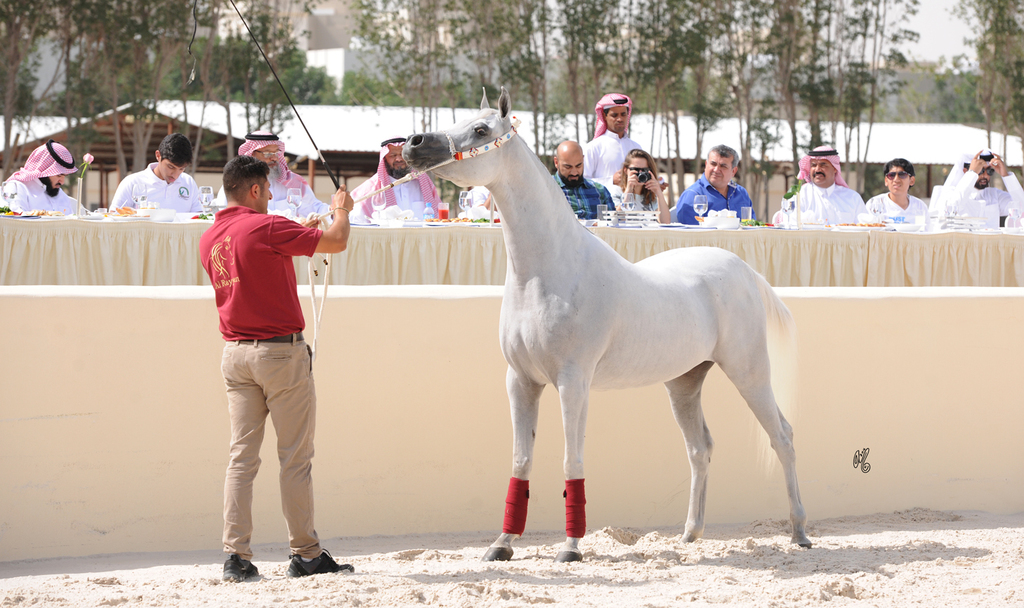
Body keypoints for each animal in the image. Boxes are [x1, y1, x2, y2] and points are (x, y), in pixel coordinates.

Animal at [403, 87, 812, 562]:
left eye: (482, 129)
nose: (413, 144)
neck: (549, 272)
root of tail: (744, 270)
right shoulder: (521, 381)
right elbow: (520, 461)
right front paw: (501, 545)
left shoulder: (572, 382)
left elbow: (571, 459)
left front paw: (571, 548)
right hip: (684, 383)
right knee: (699, 448)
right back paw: (689, 535)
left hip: (749, 372)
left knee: (782, 436)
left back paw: (799, 532)